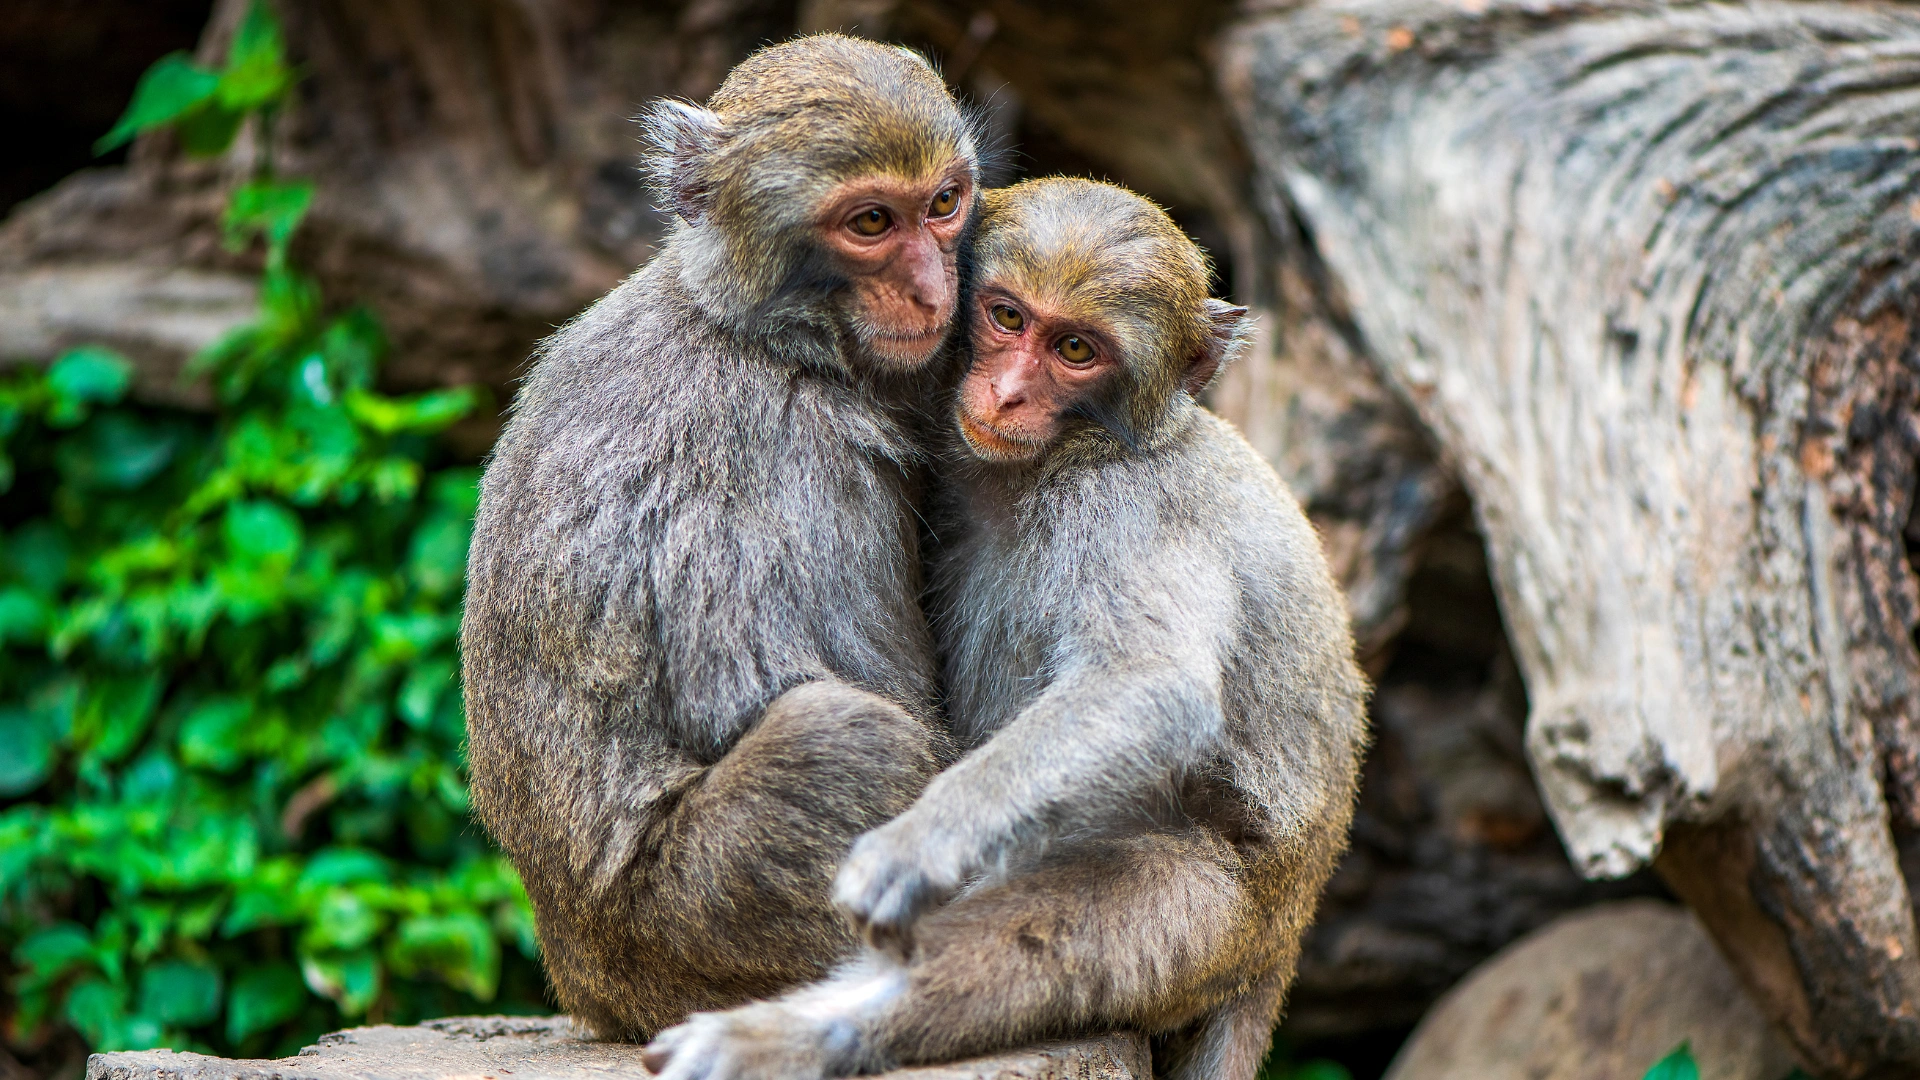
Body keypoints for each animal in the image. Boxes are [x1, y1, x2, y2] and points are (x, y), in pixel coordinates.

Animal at [459, 35, 984, 1041]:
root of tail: (596, 988)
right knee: (845, 736)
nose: (932, 289)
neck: (763, 335)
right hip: (704, 924)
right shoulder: (794, 456)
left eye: (944, 203)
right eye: (871, 221)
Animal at [641, 177, 1370, 1080]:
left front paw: (922, 844)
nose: (1010, 393)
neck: (1069, 454)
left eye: (1076, 349)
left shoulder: (1123, 508)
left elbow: (1148, 686)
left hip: (1215, 907)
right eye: (1007, 317)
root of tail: (1287, 926)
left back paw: (785, 1038)